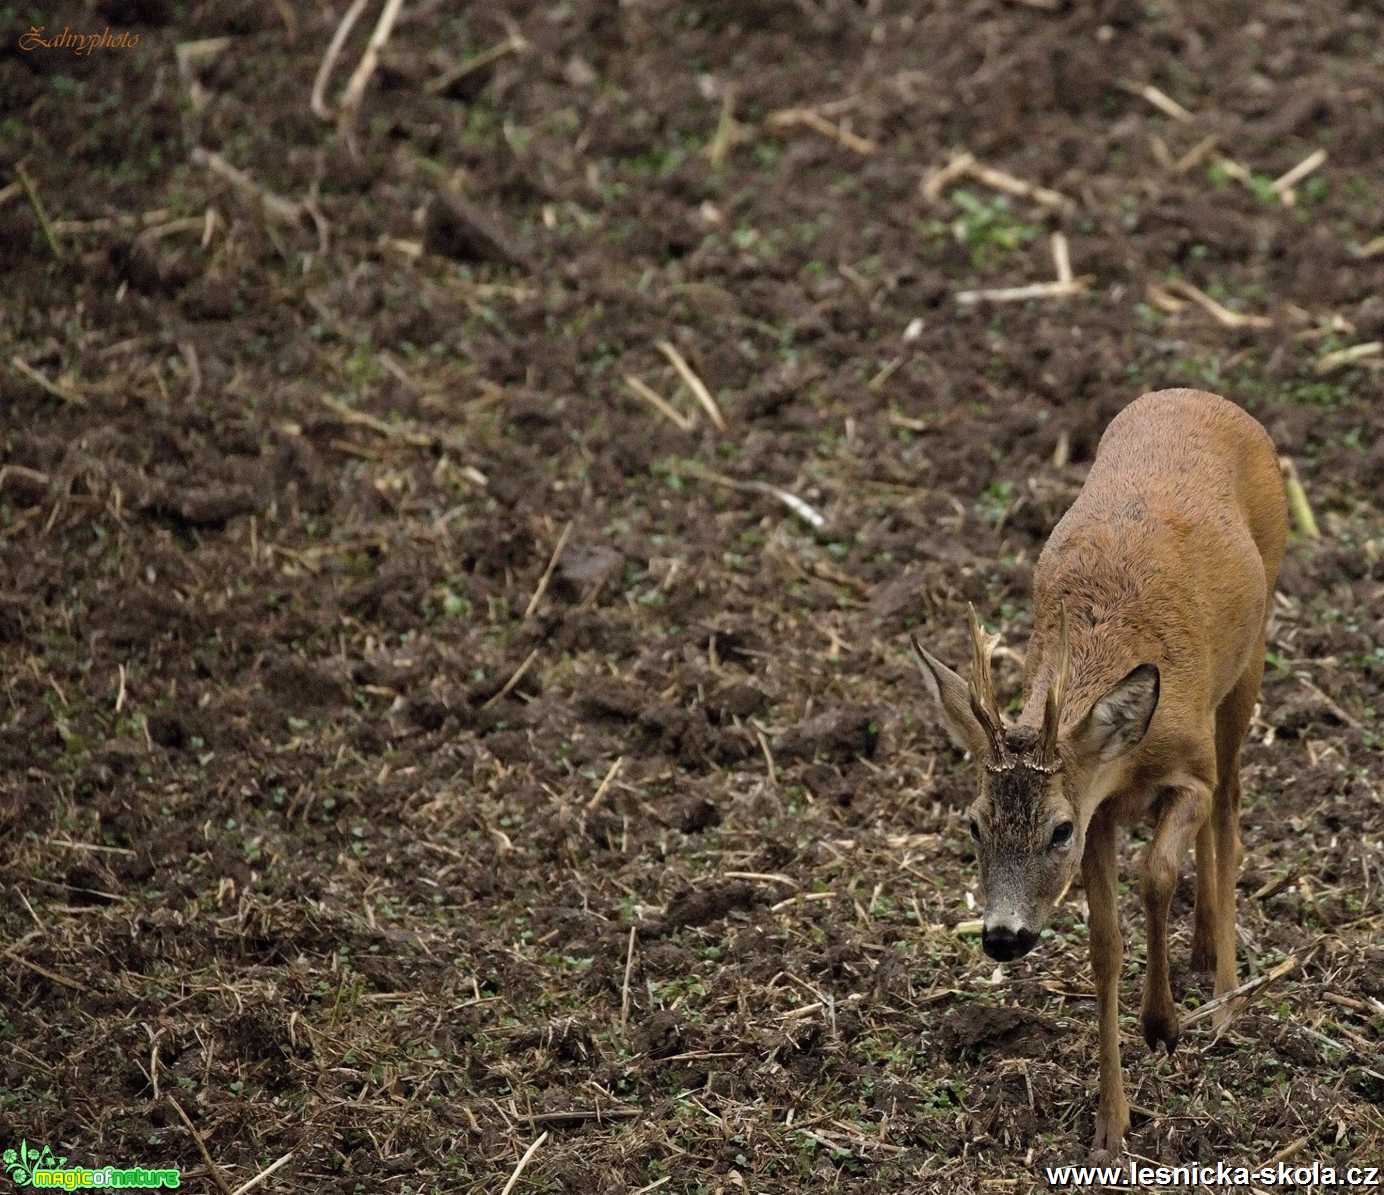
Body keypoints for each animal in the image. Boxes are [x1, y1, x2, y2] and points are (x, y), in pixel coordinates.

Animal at [907, 387, 1284, 1152]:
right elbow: (1104, 947)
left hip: (1252, 654)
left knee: (1231, 805)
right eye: (973, 823)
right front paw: (1112, 1122)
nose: (1004, 936)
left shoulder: (1183, 772)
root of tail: (1201, 394)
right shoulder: (1103, 812)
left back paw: (1224, 997)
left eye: (1057, 830)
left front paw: (1163, 1023)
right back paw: (1203, 953)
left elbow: (1159, 870)